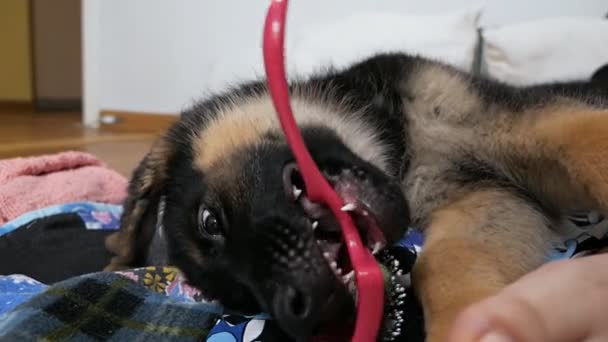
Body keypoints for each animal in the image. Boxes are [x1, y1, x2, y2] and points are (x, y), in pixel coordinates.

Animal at [104, 52, 608, 340]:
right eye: (240, 298)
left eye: (210, 221)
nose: (305, 319)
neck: (396, 146)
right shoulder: (485, 198)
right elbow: (449, 262)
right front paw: (466, 322)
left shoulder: (514, 122)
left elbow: (588, 144)